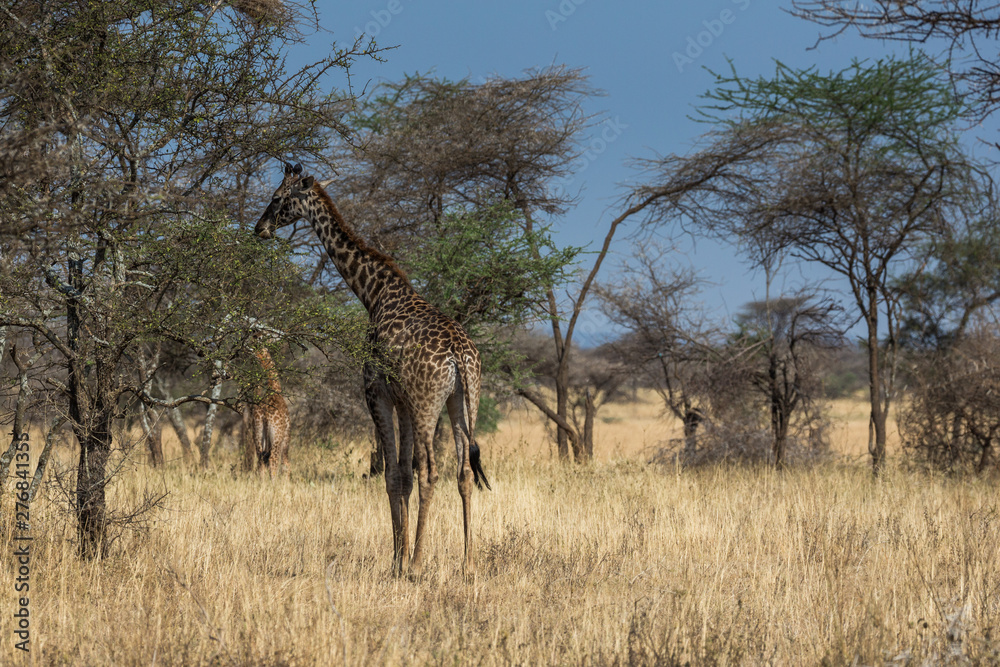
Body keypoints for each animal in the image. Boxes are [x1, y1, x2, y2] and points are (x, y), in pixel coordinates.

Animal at [240, 347, 291, 478]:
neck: (275, 388)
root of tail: (265, 414)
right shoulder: (286, 436)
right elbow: (286, 464)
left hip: (257, 431)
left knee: (261, 460)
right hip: (277, 436)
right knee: (274, 460)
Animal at [255, 162, 490, 577]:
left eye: (277, 197)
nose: (259, 227)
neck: (373, 293)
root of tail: (459, 356)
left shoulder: (376, 394)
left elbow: (394, 475)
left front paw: (398, 561)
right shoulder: (403, 402)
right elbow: (403, 475)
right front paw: (400, 554)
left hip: (429, 404)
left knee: (432, 471)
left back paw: (418, 564)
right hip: (462, 402)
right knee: (463, 471)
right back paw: (468, 562)